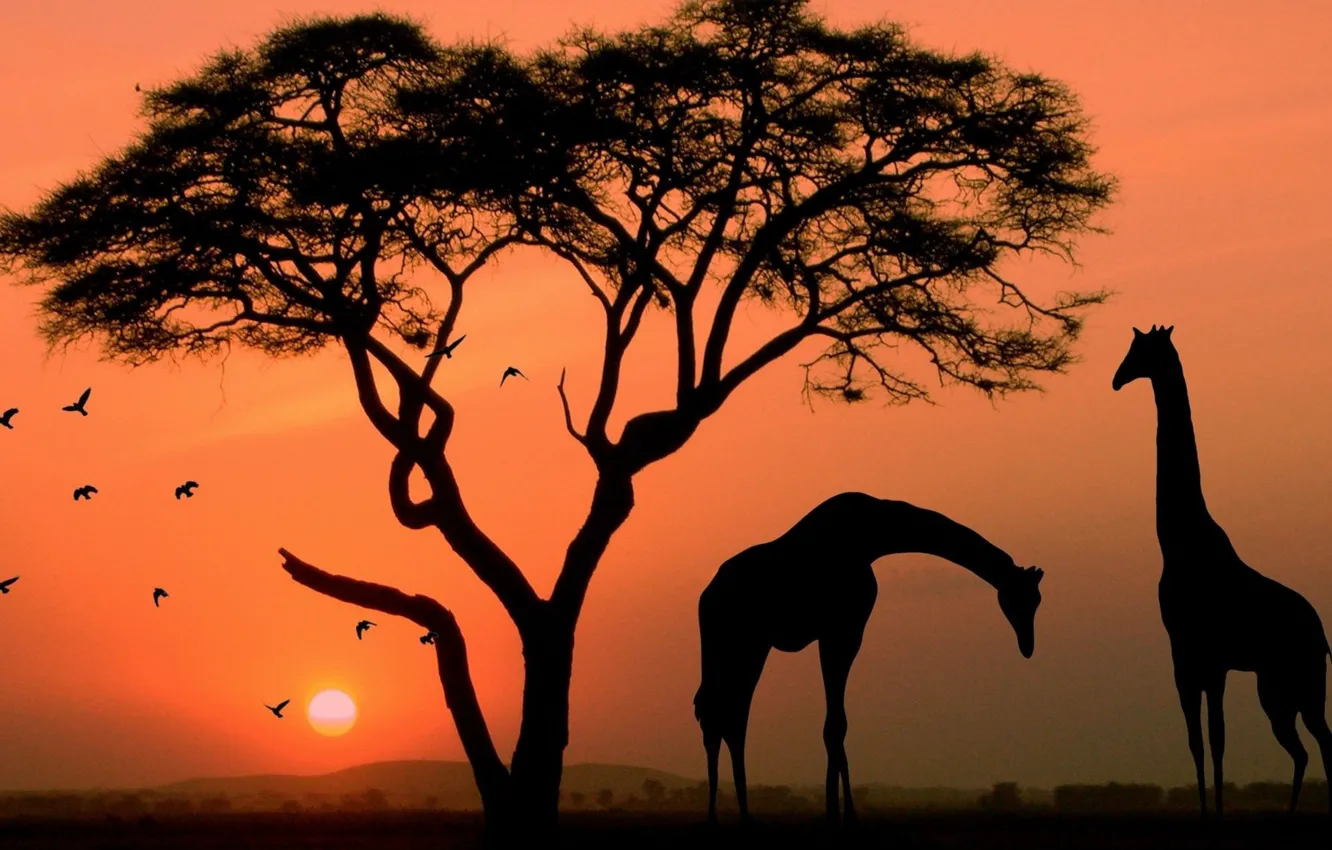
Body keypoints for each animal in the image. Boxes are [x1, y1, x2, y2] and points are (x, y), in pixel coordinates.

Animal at [693, 491, 1043, 824]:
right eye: (1023, 599)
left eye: (1037, 601)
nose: (1027, 645)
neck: (876, 536)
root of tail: (706, 597)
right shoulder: (843, 631)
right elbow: (836, 724)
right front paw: (844, 814)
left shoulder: (839, 633)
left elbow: (835, 723)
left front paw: (837, 810)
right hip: (742, 643)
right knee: (724, 714)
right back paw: (726, 815)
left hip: (738, 646)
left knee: (720, 713)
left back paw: (731, 815)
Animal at [1113, 324, 1332, 817]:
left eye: (1142, 351)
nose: (1116, 380)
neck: (1177, 542)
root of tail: (1322, 634)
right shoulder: (1187, 655)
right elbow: (1198, 741)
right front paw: (1206, 810)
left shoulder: (1207, 659)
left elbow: (1215, 740)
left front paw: (1214, 811)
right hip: (1278, 686)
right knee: (1308, 747)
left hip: (1297, 681)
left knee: (1319, 744)